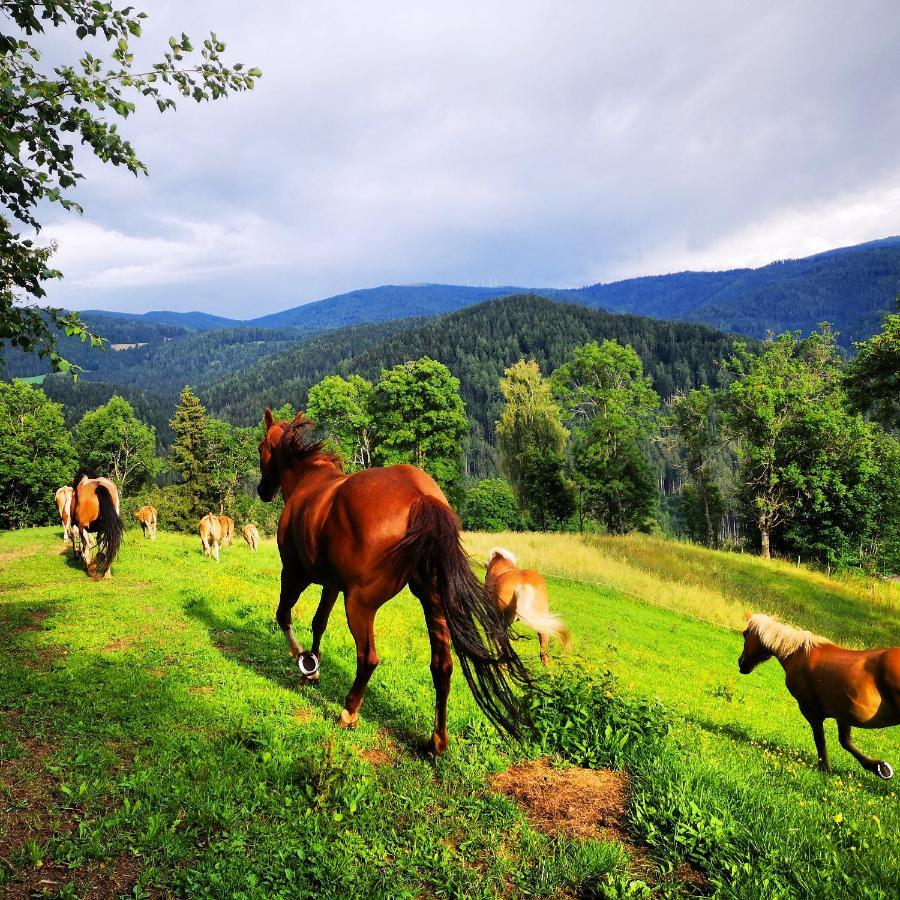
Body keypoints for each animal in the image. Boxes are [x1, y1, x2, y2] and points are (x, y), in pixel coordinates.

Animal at [256, 408, 532, 752]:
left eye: (261, 449)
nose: (262, 491)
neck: (310, 482)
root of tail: (420, 497)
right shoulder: (332, 584)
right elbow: (319, 623)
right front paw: (313, 667)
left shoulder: (295, 573)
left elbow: (284, 615)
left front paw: (303, 660)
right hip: (434, 603)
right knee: (442, 666)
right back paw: (436, 741)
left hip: (359, 604)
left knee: (368, 659)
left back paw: (349, 712)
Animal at [740, 616, 900, 776]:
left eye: (745, 634)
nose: (740, 663)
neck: (798, 655)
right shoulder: (843, 712)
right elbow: (845, 741)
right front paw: (879, 767)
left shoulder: (811, 711)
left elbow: (820, 740)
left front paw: (824, 769)